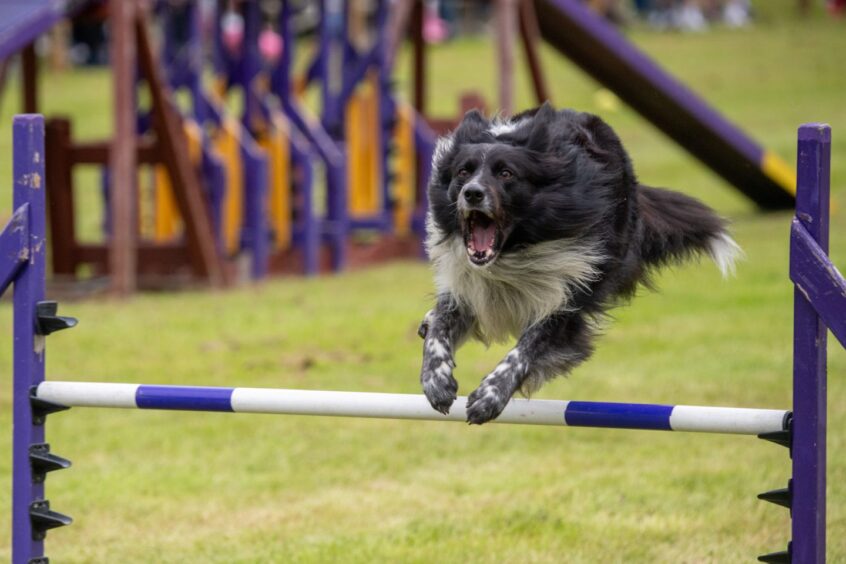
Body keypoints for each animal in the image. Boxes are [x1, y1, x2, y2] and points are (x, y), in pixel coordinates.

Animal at [418, 103, 744, 426]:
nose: (472, 193)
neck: (515, 250)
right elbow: (440, 326)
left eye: (506, 173)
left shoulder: (567, 294)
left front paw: (490, 395)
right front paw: (436, 380)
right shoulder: (466, 285)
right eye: (463, 171)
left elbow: (527, 347)